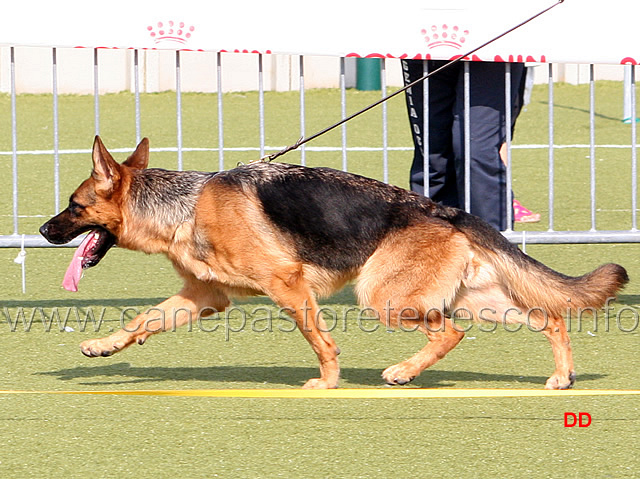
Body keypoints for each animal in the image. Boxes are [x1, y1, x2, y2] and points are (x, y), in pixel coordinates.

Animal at [41, 138, 632, 390]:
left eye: (73, 206)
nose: (45, 232)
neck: (183, 206)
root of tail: (448, 209)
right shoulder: (203, 297)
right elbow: (143, 320)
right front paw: (104, 346)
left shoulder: (287, 286)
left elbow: (319, 339)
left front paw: (328, 382)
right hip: (476, 299)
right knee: (549, 317)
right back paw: (561, 376)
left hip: (383, 297)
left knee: (450, 333)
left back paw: (402, 372)